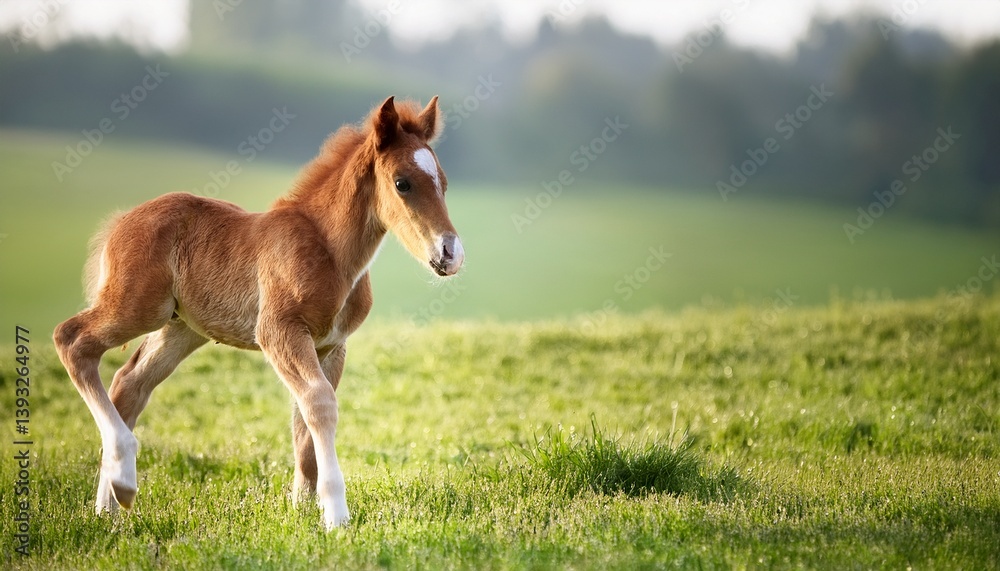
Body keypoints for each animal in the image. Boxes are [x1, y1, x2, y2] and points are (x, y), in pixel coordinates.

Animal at [53, 96, 463, 529]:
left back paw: (111, 503)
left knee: (129, 383)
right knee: (72, 340)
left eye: (444, 183)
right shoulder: (278, 332)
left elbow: (305, 424)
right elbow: (320, 404)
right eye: (402, 183)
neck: (330, 252)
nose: (450, 253)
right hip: (138, 308)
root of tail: (118, 223)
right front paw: (335, 515)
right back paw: (120, 476)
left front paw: (304, 510)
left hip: (181, 329)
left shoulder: (331, 346)